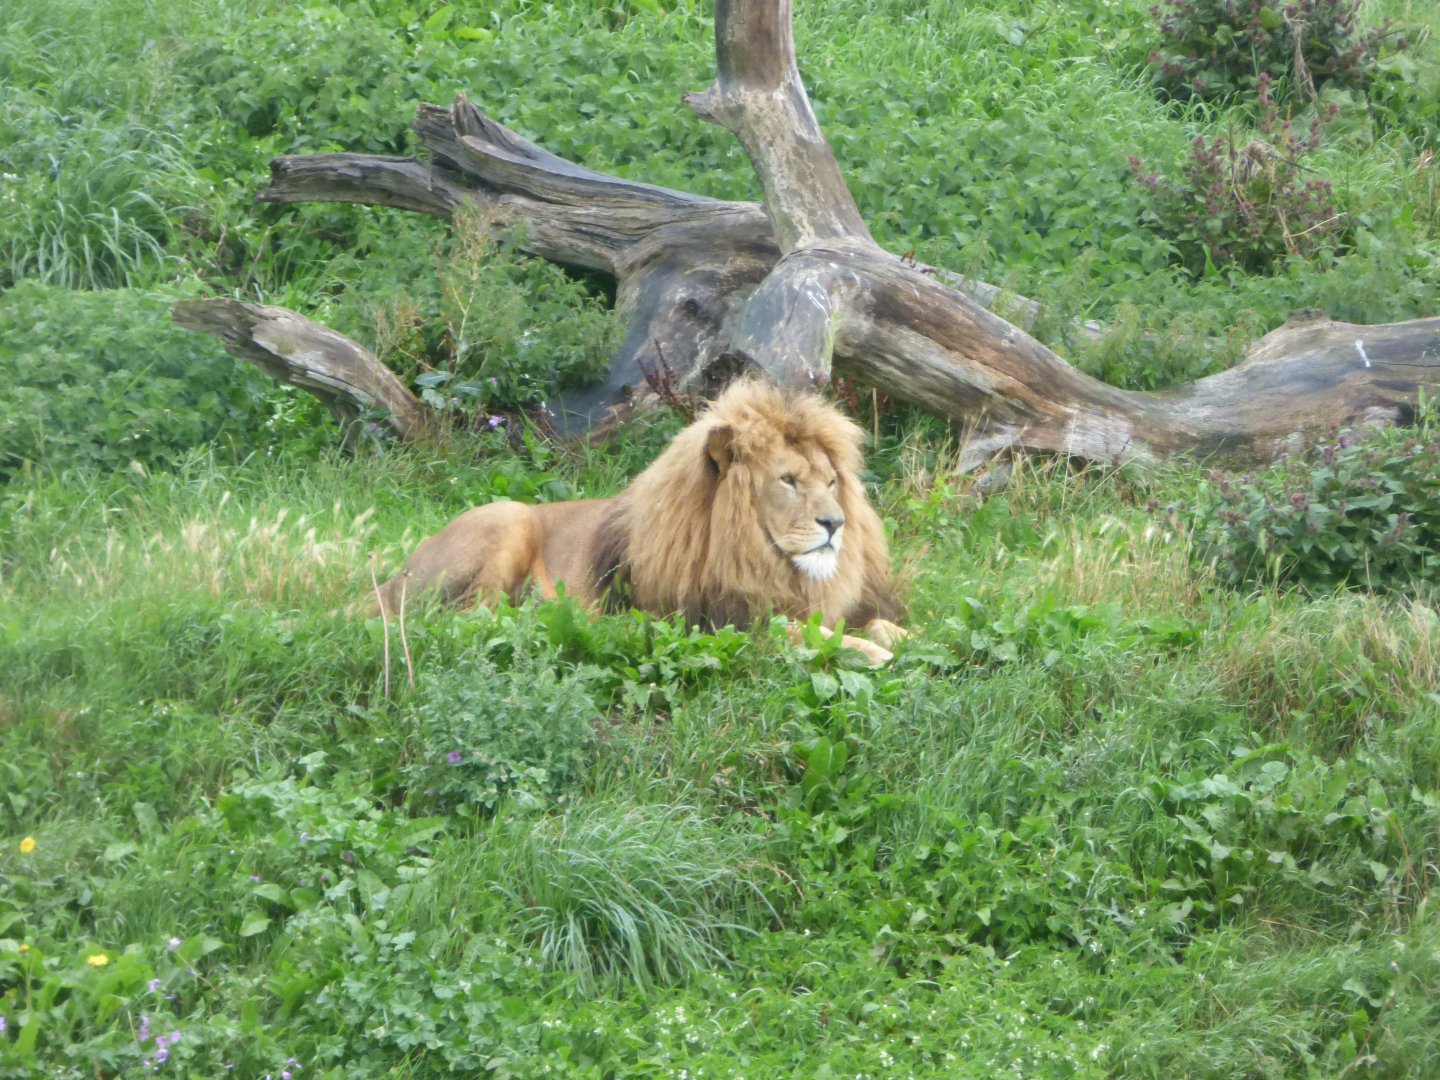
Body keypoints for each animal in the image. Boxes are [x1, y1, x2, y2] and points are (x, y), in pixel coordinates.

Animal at [371, 378, 905, 664]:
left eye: (832, 481)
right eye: (788, 480)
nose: (835, 524)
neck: (765, 559)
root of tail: (391, 580)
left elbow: (879, 622)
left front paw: (900, 640)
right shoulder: (712, 622)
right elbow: (800, 632)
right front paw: (871, 653)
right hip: (508, 518)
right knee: (466, 619)